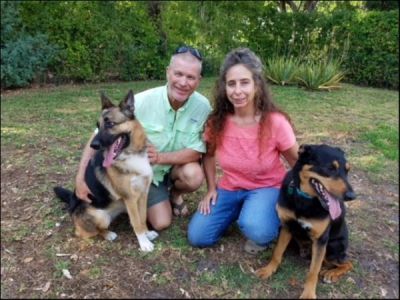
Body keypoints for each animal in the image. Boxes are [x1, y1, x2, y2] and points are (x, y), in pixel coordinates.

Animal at [54, 90, 157, 252]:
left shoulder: (142, 194)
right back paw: (108, 234)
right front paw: (144, 242)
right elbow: (136, 221)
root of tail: (72, 202)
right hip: (101, 216)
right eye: (98, 125)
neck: (131, 154)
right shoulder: (130, 198)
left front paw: (147, 233)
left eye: (110, 124)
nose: (93, 145)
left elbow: (143, 216)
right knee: (85, 232)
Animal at [256, 144, 356, 298]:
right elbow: (277, 253)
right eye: (330, 168)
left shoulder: (321, 240)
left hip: (332, 248)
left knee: (348, 263)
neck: (305, 199)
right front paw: (268, 270)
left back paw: (331, 273)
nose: (352, 196)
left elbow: (313, 271)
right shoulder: (287, 226)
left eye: (347, 171)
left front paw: (308, 293)